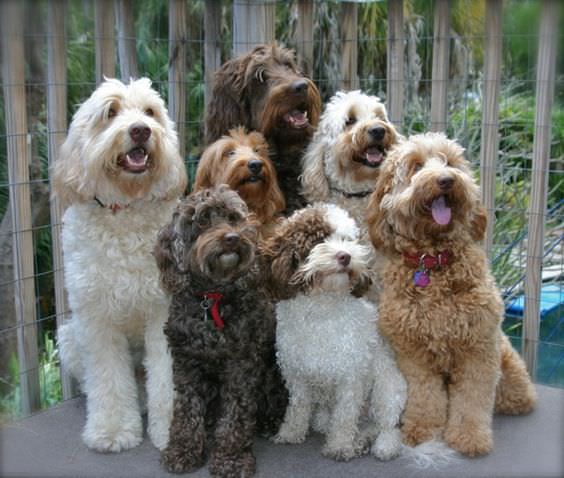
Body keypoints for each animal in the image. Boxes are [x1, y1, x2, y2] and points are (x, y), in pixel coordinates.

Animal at [52, 77, 187, 452]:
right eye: (109, 112)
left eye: (150, 112)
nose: (140, 130)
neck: (126, 208)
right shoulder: (96, 318)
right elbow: (108, 378)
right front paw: (112, 430)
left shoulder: (163, 311)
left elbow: (165, 375)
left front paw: (169, 428)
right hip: (70, 337)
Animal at [154, 184, 286, 478]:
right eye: (202, 220)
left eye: (233, 218)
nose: (232, 238)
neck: (213, 296)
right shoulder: (187, 363)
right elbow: (187, 409)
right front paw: (183, 449)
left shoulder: (241, 365)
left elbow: (235, 415)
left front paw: (231, 459)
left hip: (272, 374)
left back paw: (268, 423)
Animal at [262, 204, 408, 462]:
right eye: (319, 239)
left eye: (348, 240)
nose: (345, 256)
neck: (321, 311)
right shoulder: (297, 374)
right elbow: (297, 407)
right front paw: (291, 432)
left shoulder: (350, 377)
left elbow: (344, 417)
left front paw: (339, 445)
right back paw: (354, 437)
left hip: (388, 387)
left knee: (387, 424)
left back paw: (382, 445)